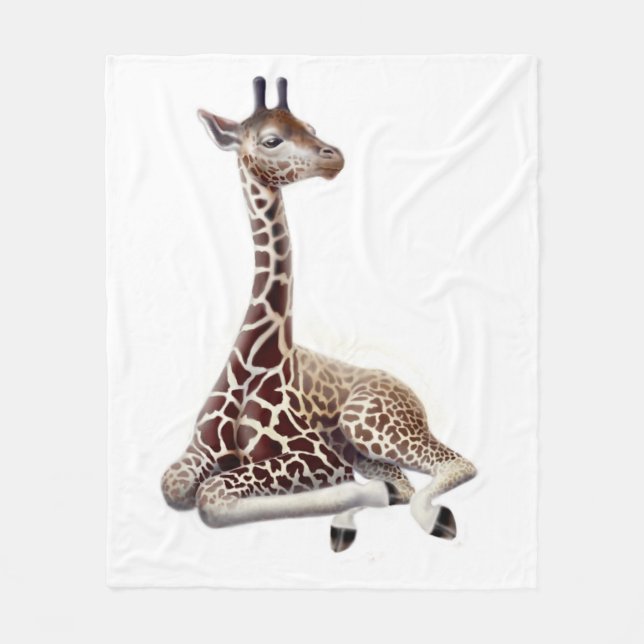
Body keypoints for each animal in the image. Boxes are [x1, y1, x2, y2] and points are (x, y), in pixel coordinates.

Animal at [161, 77, 477, 552]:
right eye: (272, 139)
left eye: (310, 126)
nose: (334, 156)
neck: (259, 358)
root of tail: (409, 393)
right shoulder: (200, 451)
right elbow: (176, 486)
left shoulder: (316, 456)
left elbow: (211, 497)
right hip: (364, 444)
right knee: (404, 482)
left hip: (367, 423)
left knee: (458, 463)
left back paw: (426, 516)